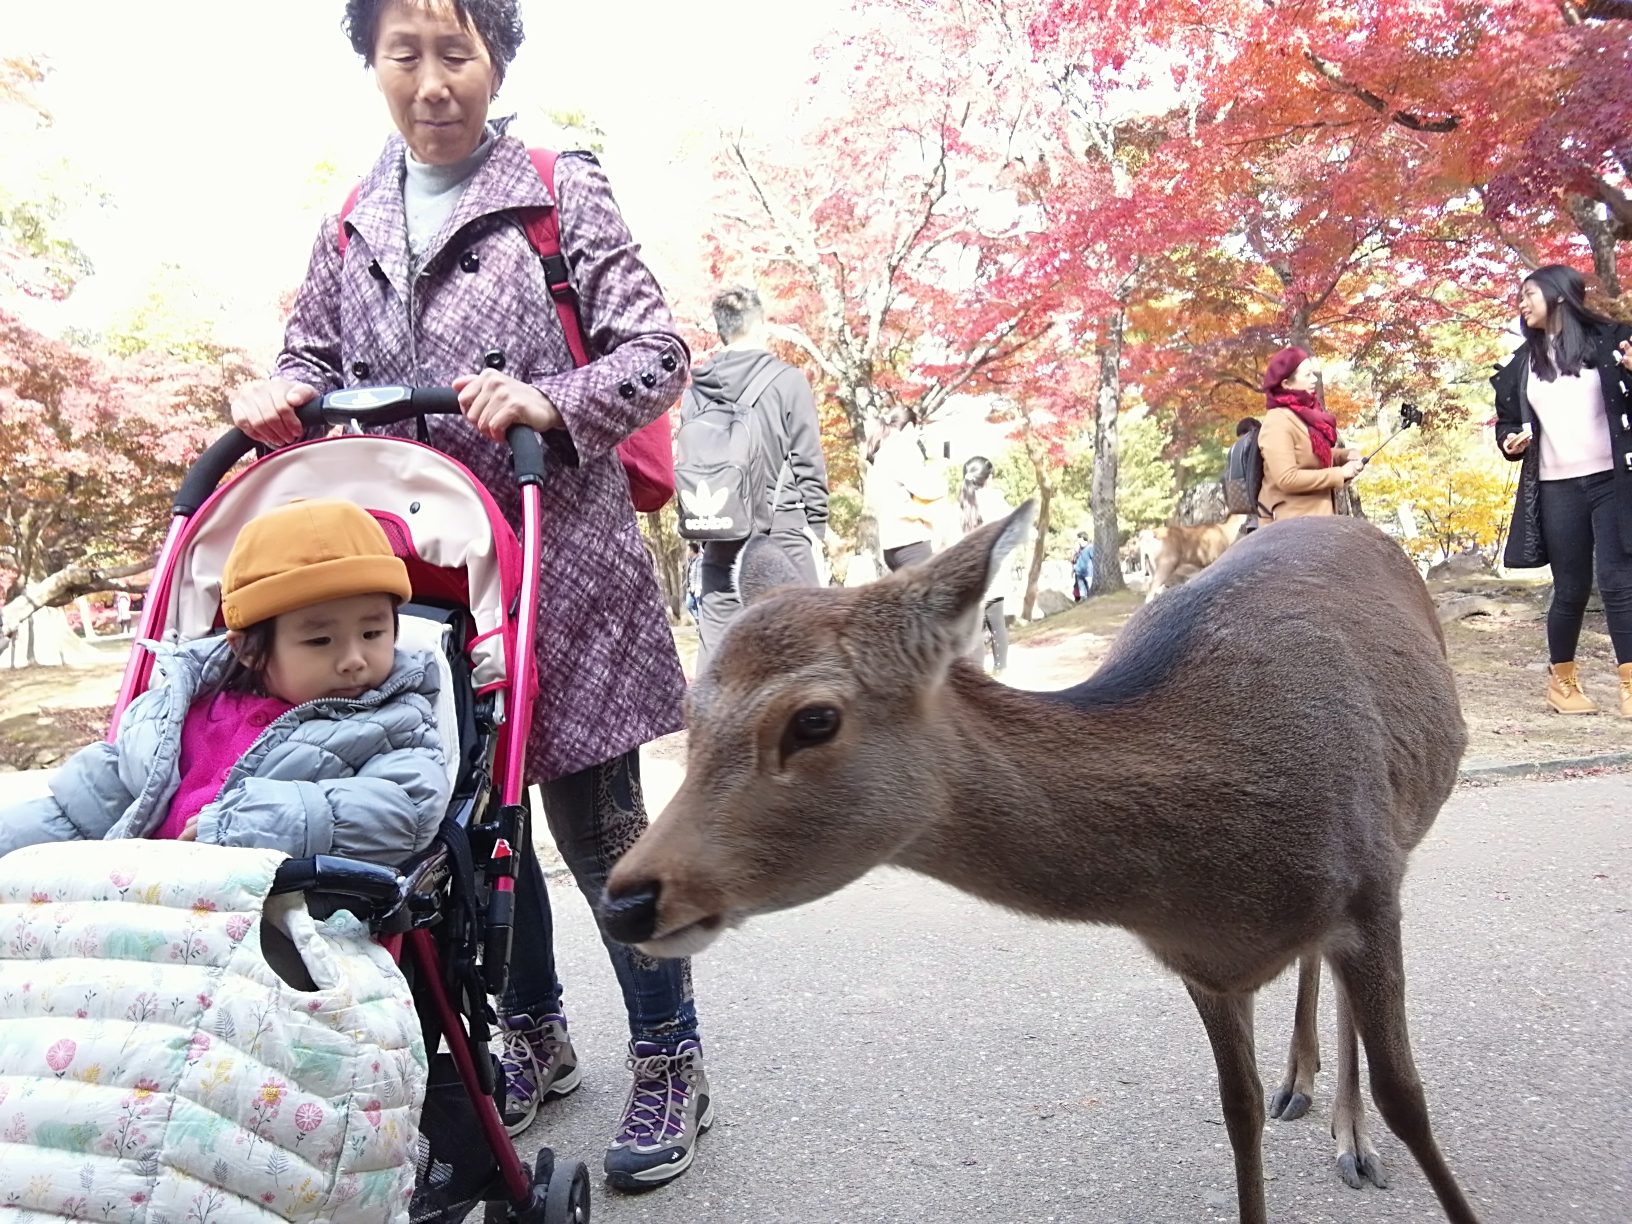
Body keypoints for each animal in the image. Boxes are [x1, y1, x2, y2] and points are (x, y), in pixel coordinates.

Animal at [607, 509, 1488, 1224]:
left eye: (815, 719)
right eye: (688, 711)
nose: (626, 899)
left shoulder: (1369, 888)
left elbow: (1408, 1097)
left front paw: (1393, 1149)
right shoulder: (1200, 967)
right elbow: (1235, 1113)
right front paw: (1270, 1102)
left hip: (1398, 840)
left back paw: (1351, 1140)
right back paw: (1298, 1084)